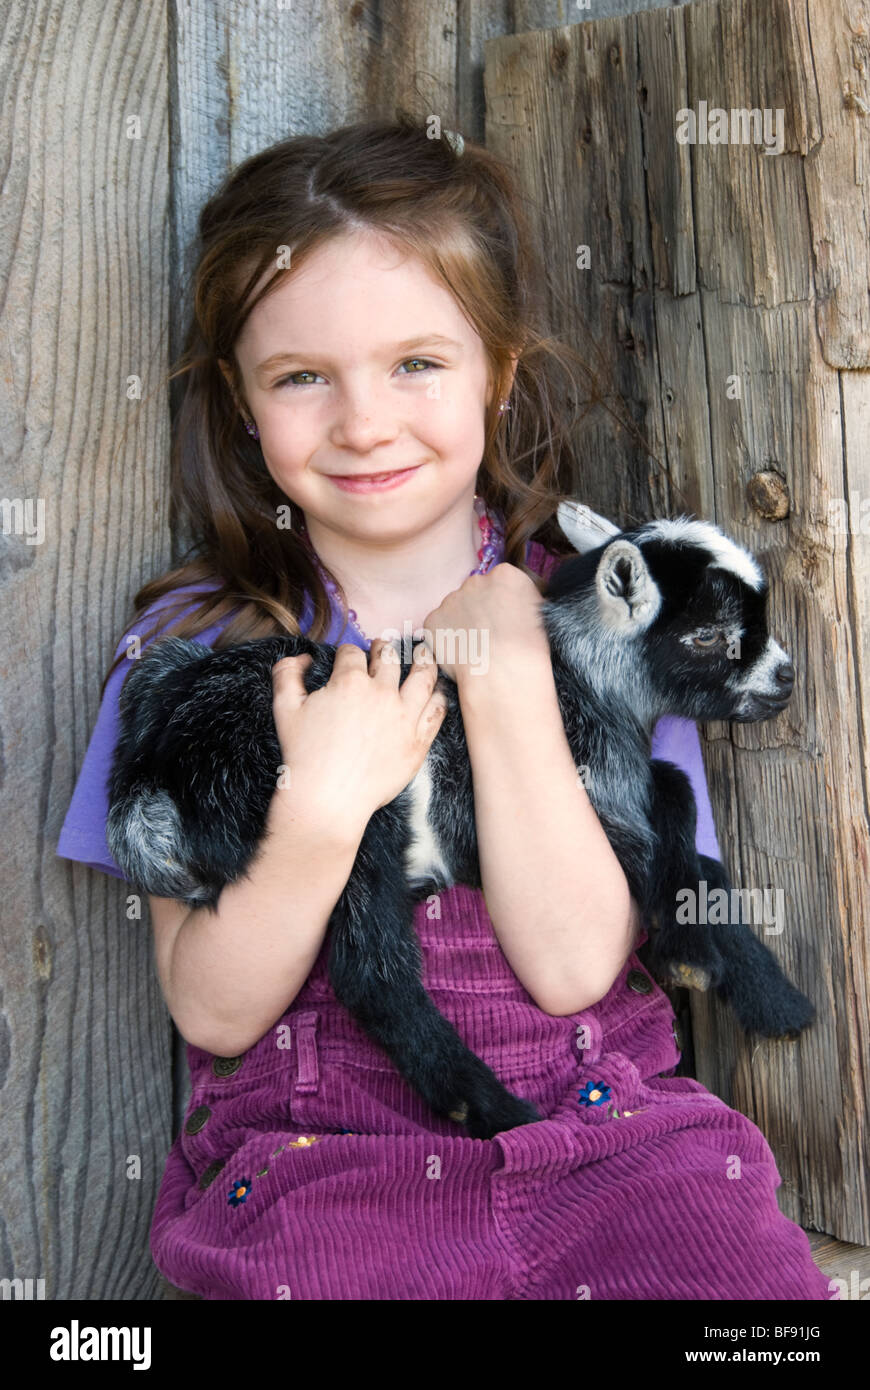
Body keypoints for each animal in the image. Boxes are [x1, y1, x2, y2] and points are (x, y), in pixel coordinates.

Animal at [107, 505, 811, 1134]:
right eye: (708, 635)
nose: (785, 678)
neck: (582, 683)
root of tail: (154, 767)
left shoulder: (626, 789)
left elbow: (684, 809)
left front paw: (777, 1000)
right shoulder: (575, 809)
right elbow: (666, 835)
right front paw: (693, 956)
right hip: (348, 816)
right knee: (371, 973)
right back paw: (489, 1108)